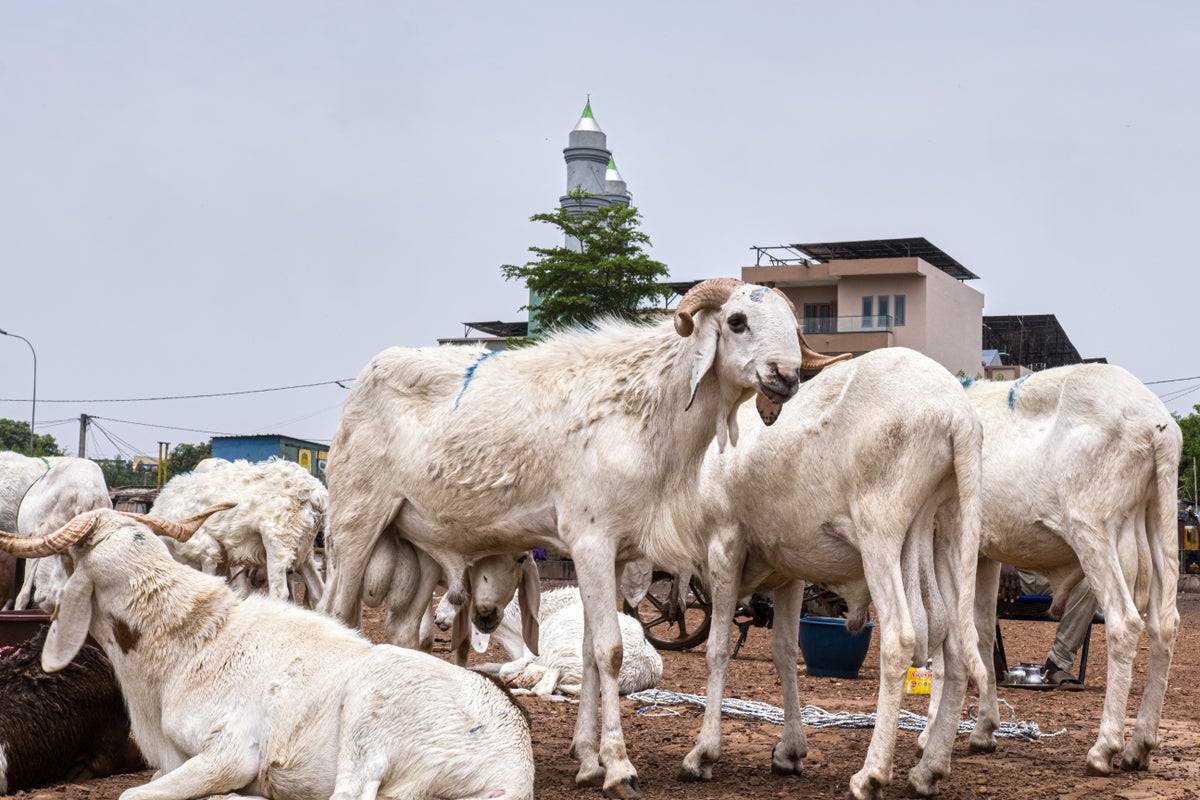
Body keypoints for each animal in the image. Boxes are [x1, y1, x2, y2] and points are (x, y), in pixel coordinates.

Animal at [150, 458, 326, 605]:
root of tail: (314, 492)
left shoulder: (207, 551)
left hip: (277, 542)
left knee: (280, 594)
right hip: (304, 549)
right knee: (318, 592)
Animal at [673, 347, 986, 799]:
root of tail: (957, 415)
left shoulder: (724, 546)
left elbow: (717, 650)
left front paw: (702, 755)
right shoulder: (788, 572)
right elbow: (785, 650)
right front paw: (789, 752)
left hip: (880, 532)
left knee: (900, 639)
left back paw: (871, 775)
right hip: (951, 533)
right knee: (958, 649)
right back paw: (928, 771)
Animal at [928, 364, 1183, 778]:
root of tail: (1156, 423)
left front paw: (929, 734)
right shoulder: (984, 553)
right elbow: (982, 633)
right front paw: (984, 730)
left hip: (1093, 530)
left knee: (1125, 622)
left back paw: (1104, 749)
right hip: (1158, 526)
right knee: (1165, 626)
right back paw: (1139, 747)